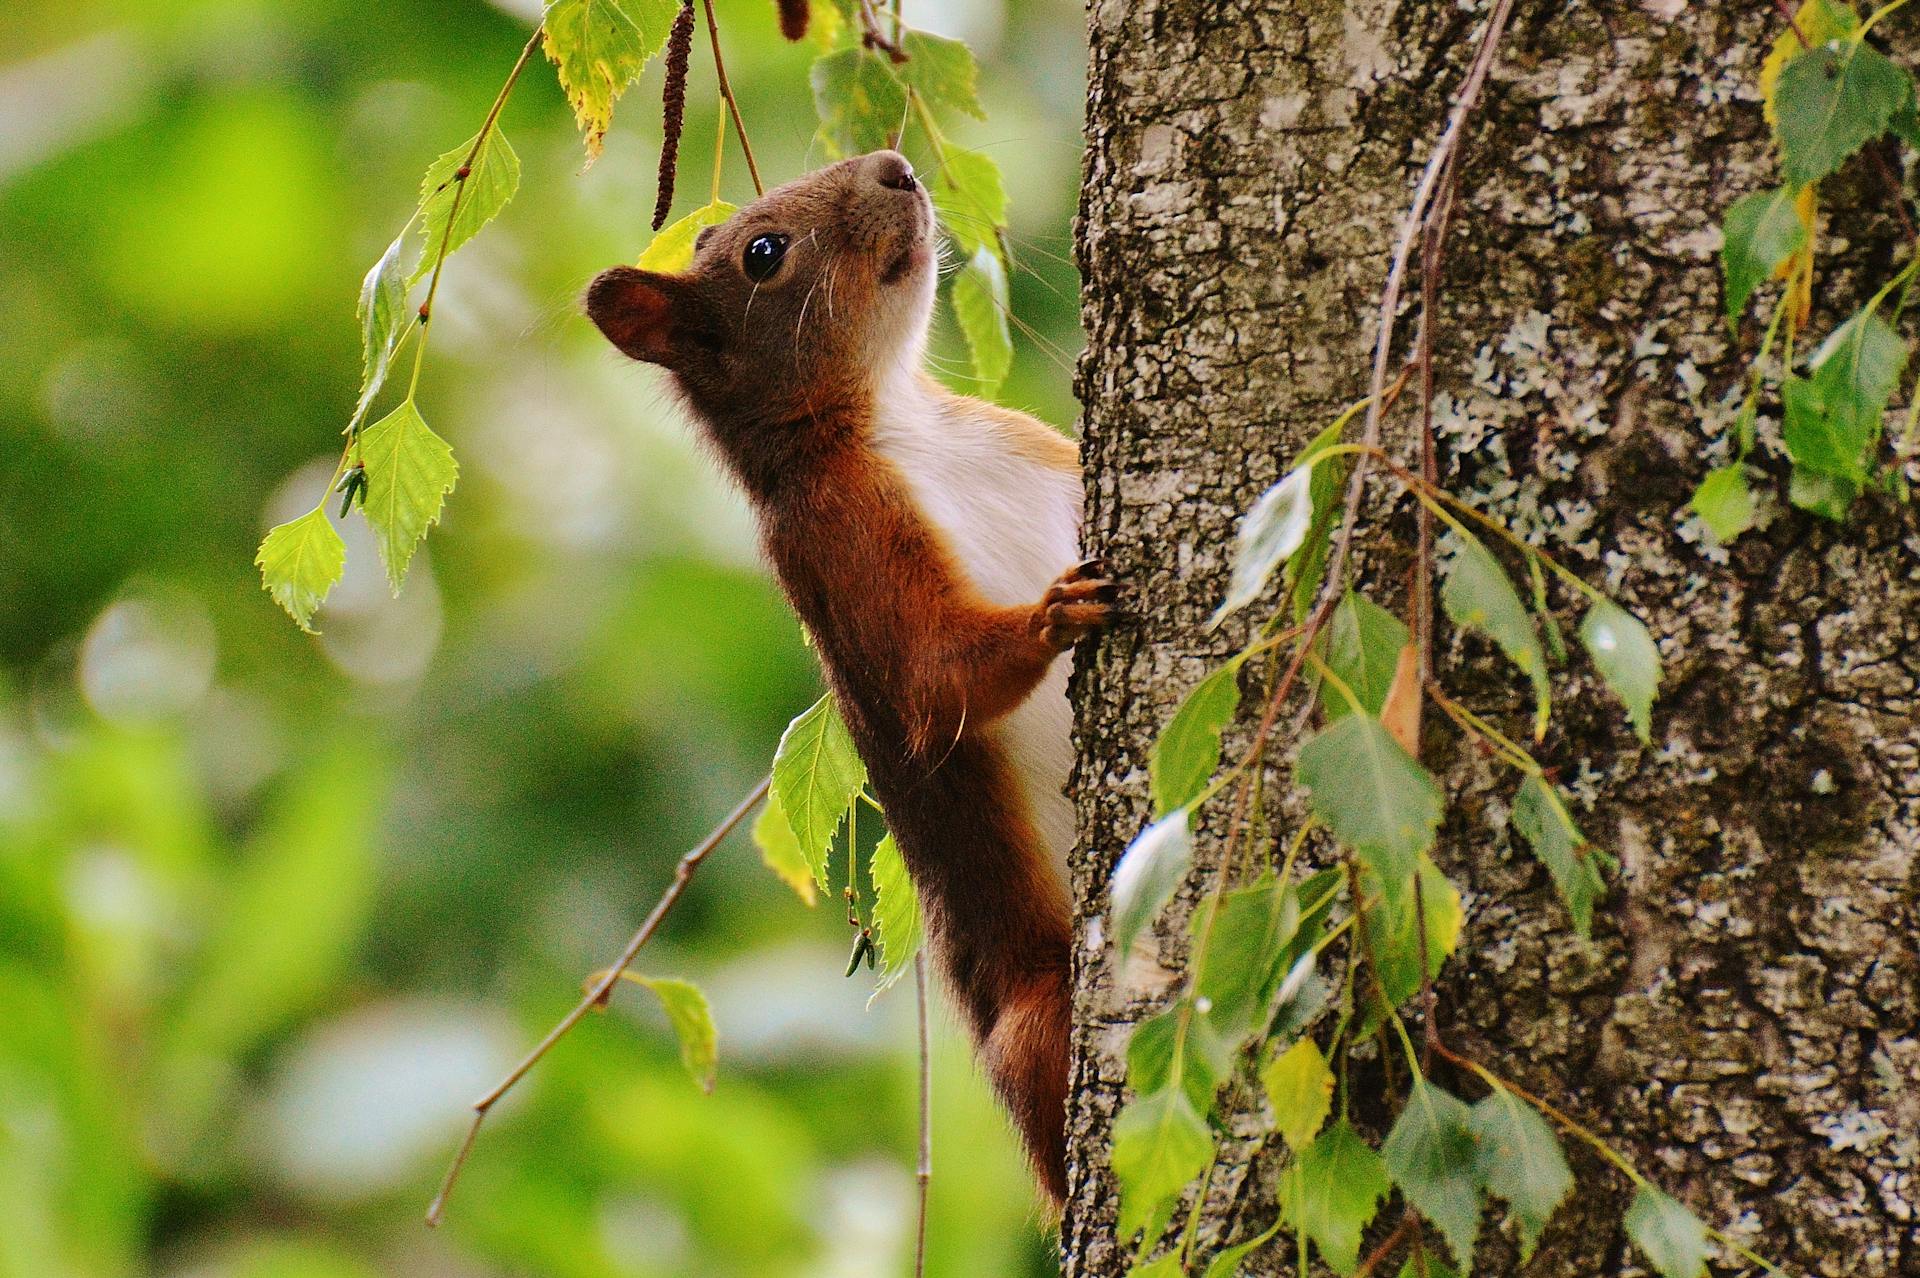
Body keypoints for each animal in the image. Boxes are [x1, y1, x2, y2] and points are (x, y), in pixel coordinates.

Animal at [579, 151, 1113, 1205]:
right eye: (763, 253)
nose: (895, 165)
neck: (899, 418)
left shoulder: (1039, 447)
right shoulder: (835, 540)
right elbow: (936, 678)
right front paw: (1053, 614)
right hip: (1041, 1018)